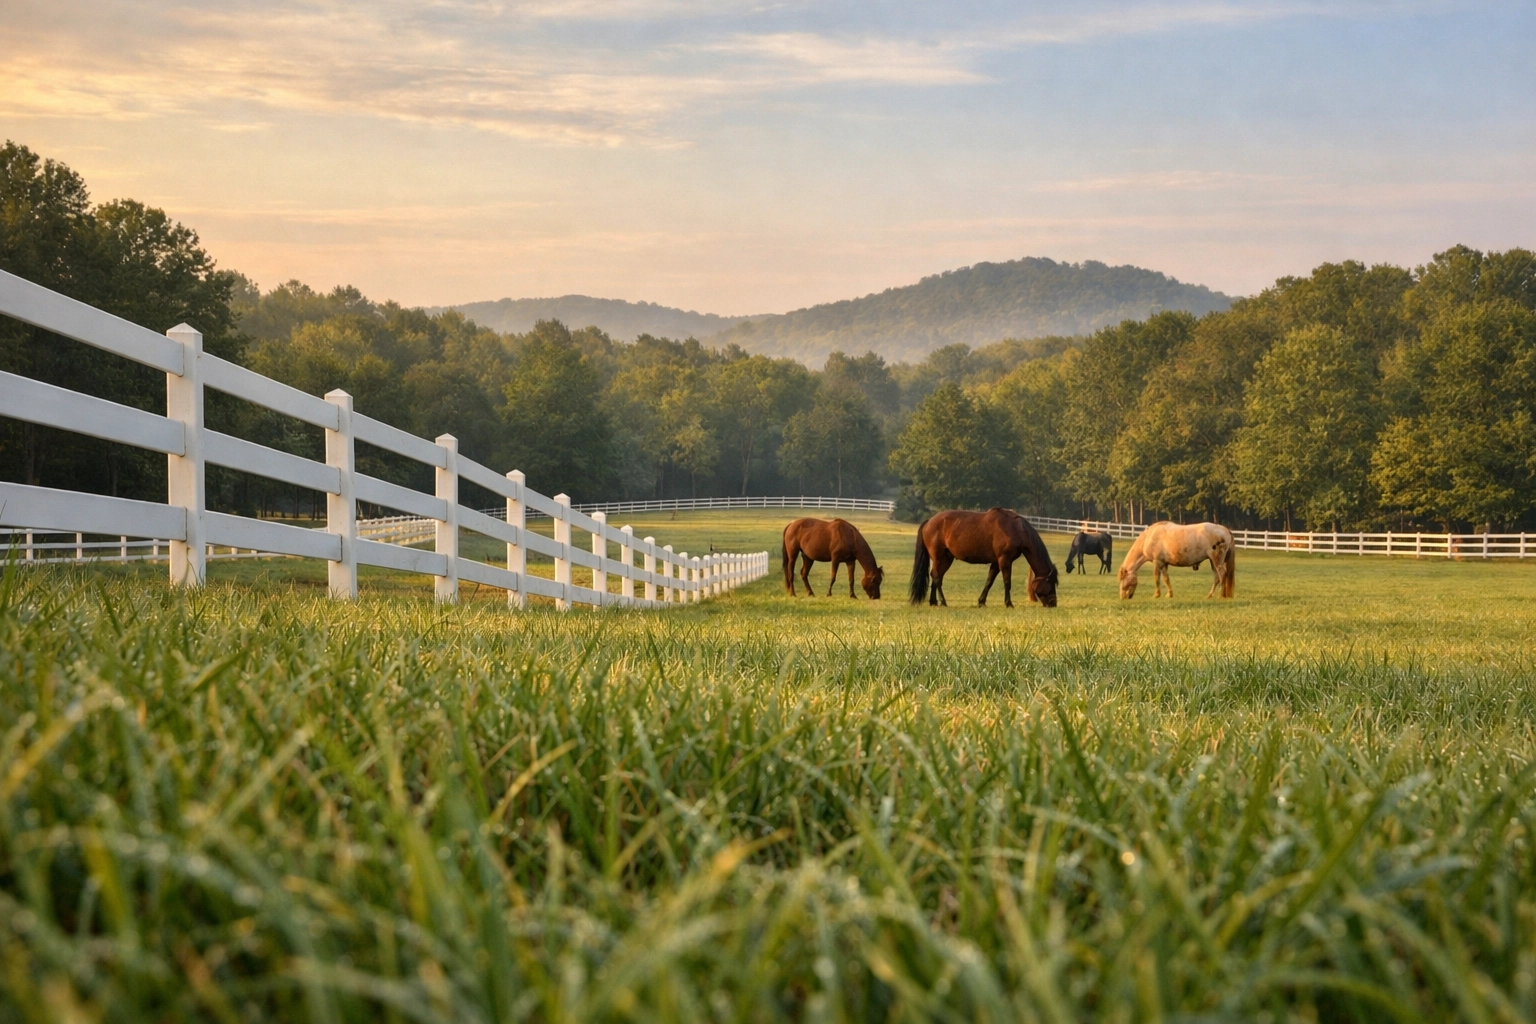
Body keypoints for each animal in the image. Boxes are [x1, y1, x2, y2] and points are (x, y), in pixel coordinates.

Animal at [908, 508, 1059, 608]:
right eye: (1051, 583)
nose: (1053, 603)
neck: (1015, 528)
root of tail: (929, 521)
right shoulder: (1004, 560)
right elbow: (1007, 582)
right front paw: (1009, 603)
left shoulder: (996, 562)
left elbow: (989, 582)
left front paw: (981, 602)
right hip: (940, 558)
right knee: (937, 578)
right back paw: (943, 602)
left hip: (945, 559)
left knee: (935, 577)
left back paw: (934, 602)